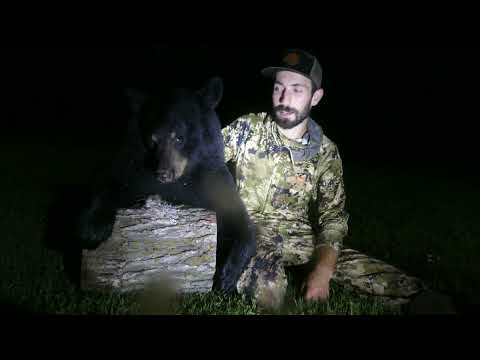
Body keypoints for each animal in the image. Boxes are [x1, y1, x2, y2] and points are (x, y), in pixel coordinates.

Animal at [76, 76, 255, 292]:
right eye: (152, 140)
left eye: (179, 137)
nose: (163, 173)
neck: (181, 180)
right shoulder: (133, 166)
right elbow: (110, 180)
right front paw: (93, 228)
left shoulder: (213, 178)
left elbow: (239, 221)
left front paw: (226, 276)